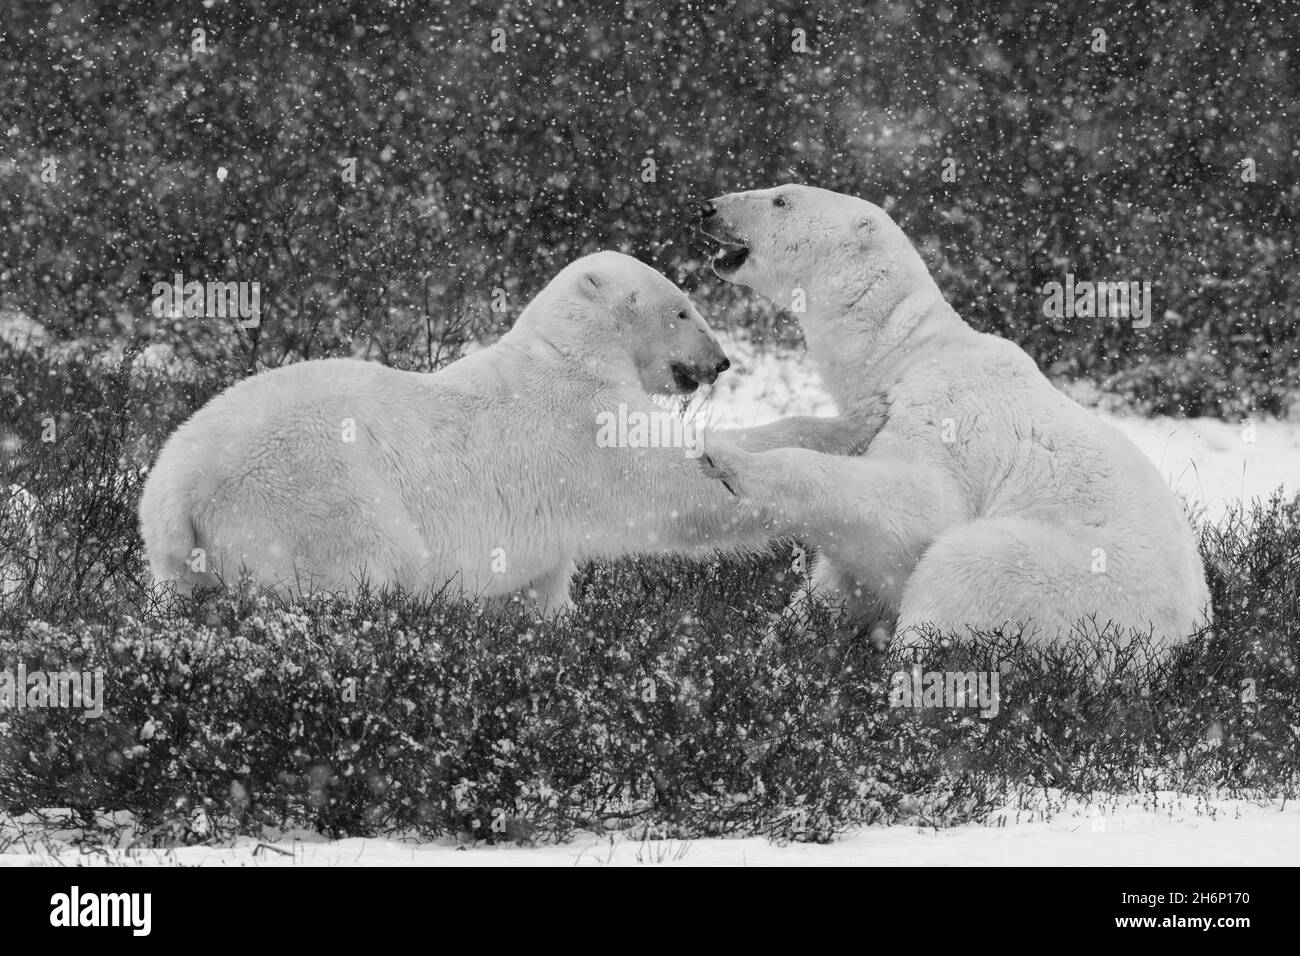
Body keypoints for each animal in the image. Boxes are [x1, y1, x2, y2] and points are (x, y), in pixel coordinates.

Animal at [139, 247, 873, 606]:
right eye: (683, 309)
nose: (721, 361)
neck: (565, 352)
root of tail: (171, 493)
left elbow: (535, 591)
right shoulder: (576, 428)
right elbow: (671, 487)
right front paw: (845, 436)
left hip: (185, 564)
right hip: (309, 492)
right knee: (368, 567)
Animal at [696, 184, 1211, 650]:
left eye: (781, 198)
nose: (709, 207)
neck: (906, 352)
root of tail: (1172, 654)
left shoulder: (946, 419)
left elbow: (919, 508)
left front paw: (726, 458)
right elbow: (843, 575)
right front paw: (777, 643)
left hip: (1080, 582)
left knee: (966, 566)